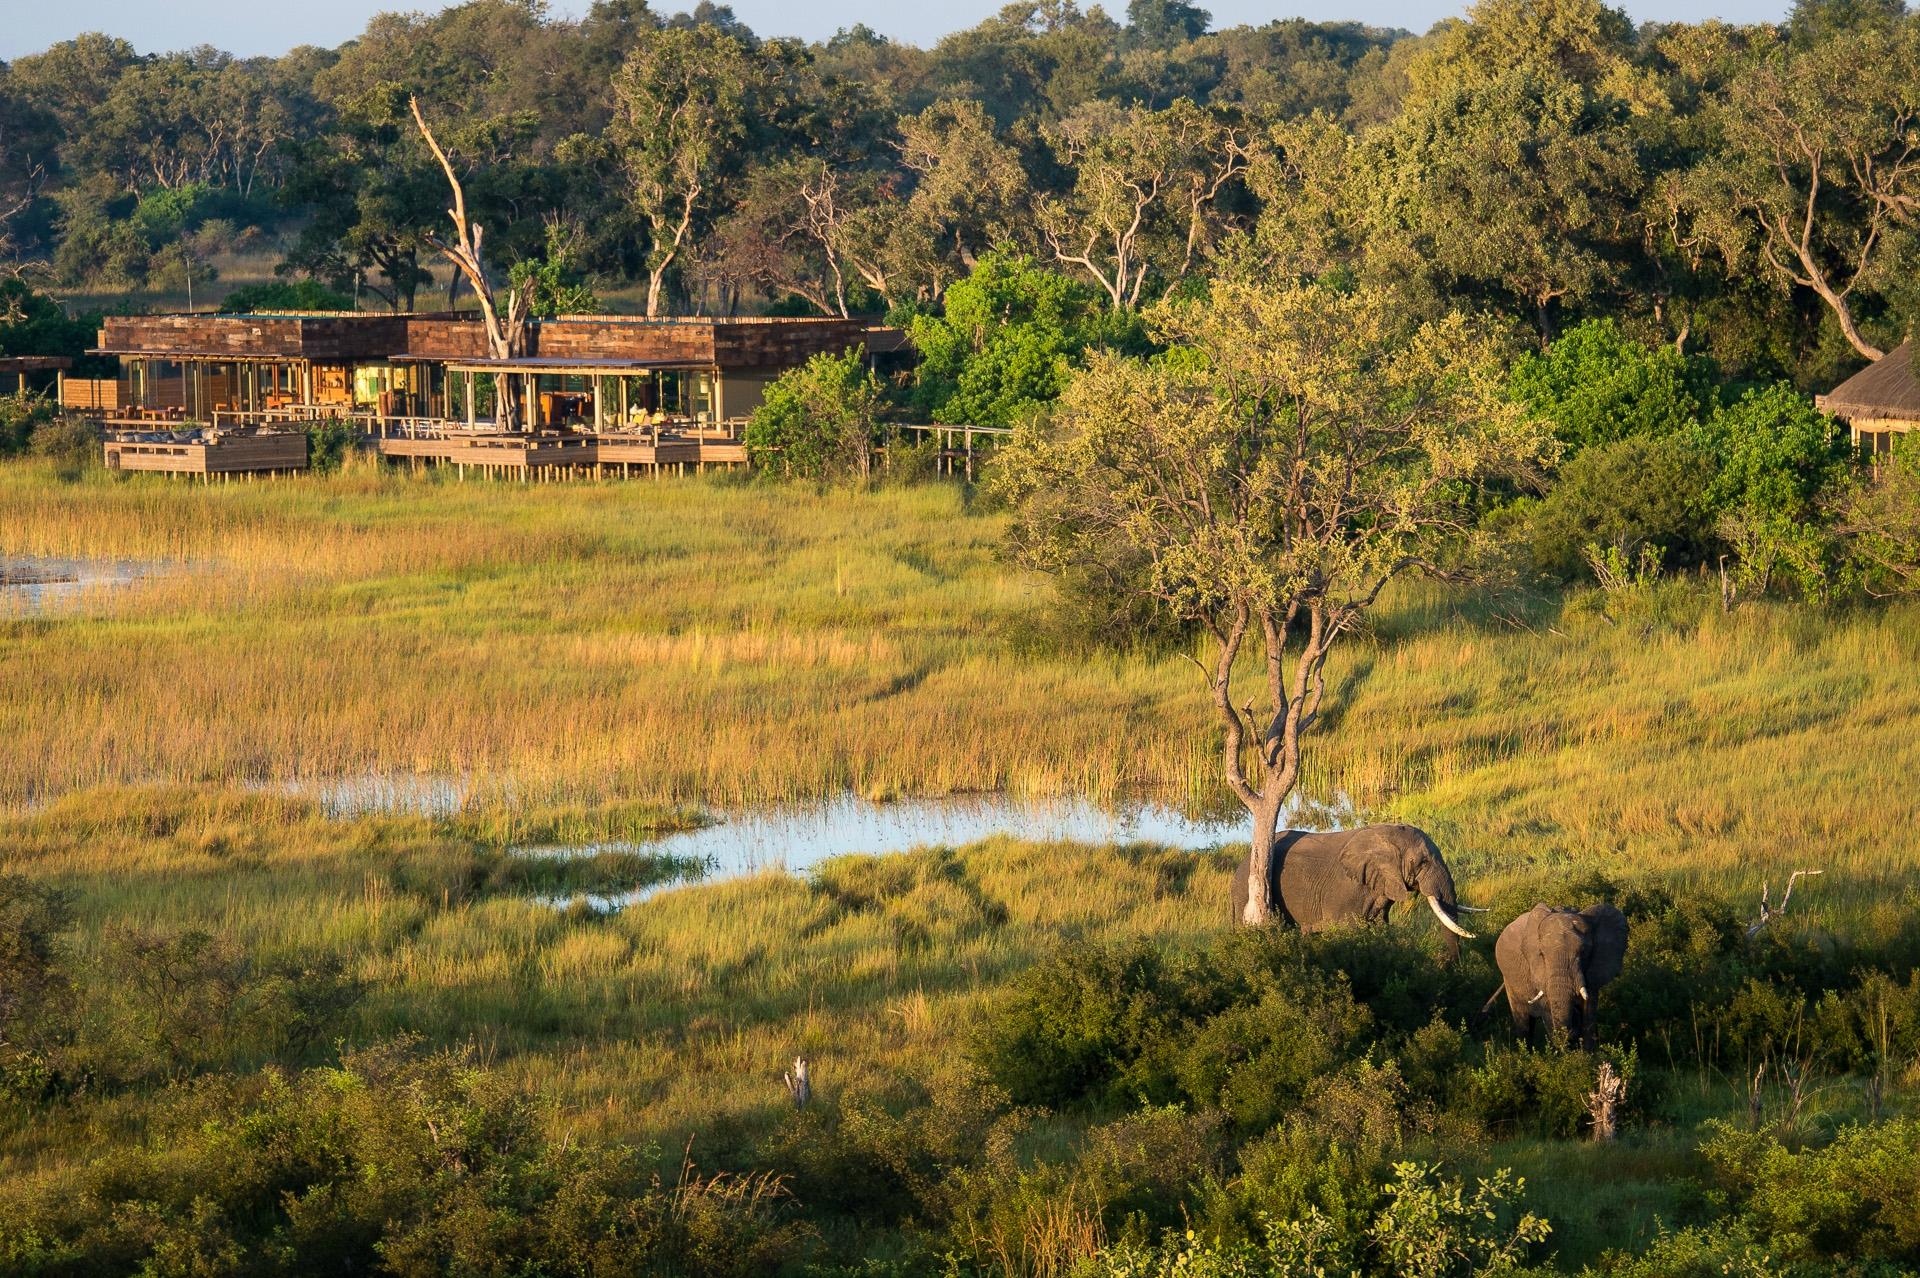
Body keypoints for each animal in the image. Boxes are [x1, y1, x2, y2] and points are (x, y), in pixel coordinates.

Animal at [1228, 821, 1482, 951]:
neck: (1384, 836)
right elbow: (1347, 931)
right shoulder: (1346, 890)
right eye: (1423, 862)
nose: (1450, 969)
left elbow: (1380, 927)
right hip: (1246, 893)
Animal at [1482, 894, 1620, 1043]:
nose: (1572, 1028)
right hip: (1509, 981)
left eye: (1583, 952)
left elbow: (1589, 1017)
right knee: (1524, 1022)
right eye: (1541, 954)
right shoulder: (1540, 975)